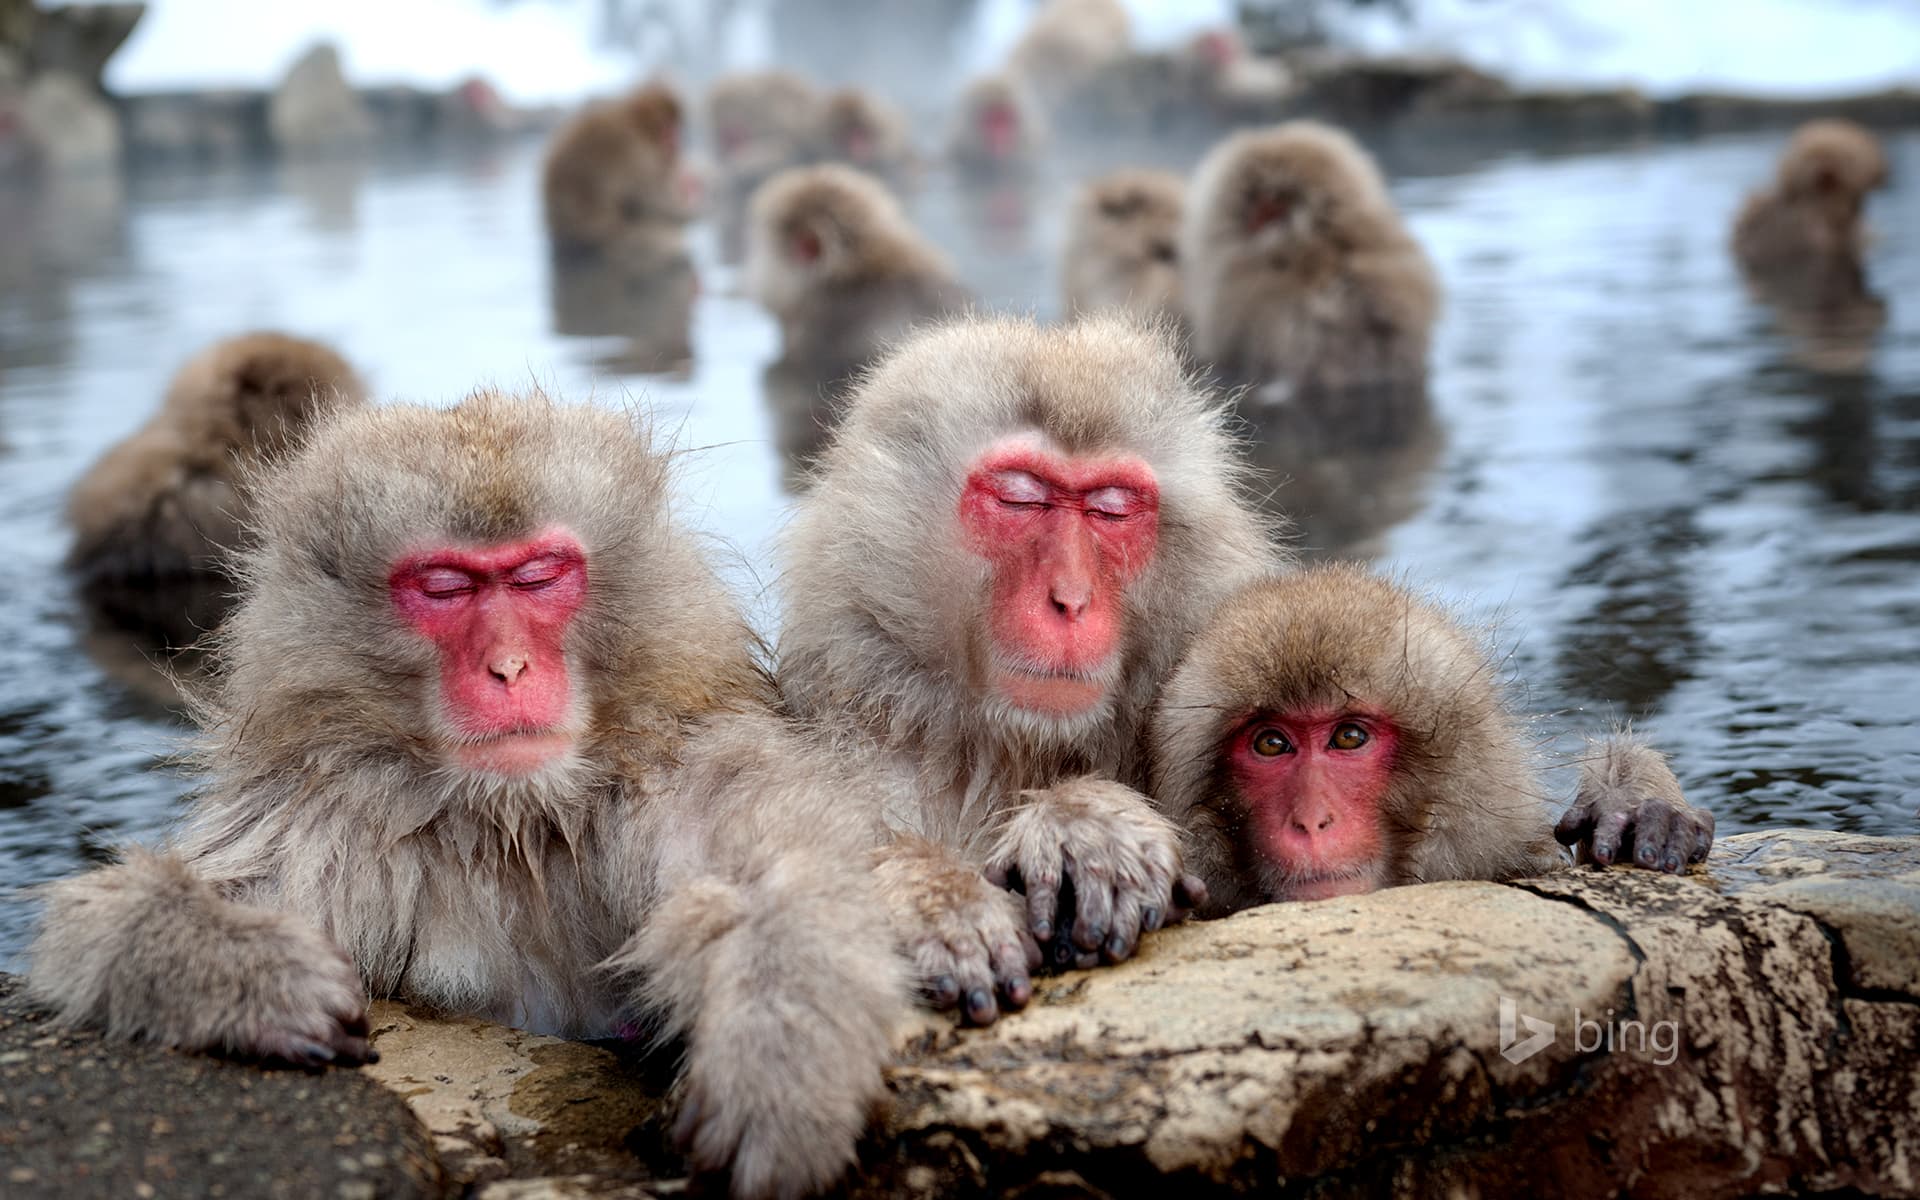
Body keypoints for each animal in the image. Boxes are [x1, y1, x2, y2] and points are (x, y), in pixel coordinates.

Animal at [29, 390, 909, 1200]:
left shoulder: (678, 771)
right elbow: (100, 923)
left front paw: (779, 1061)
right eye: (446, 587)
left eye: (538, 576)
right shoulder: (321, 814)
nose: (509, 668)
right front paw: (253, 975)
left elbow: (783, 874)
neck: (513, 818)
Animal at [541, 82, 693, 269]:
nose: (676, 145)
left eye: (675, 132)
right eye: (668, 134)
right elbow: (656, 199)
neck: (636, 124)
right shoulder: (640, 158)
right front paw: (683, 204)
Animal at [777, 313, 1288, 1024]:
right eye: (1020, 499)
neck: (1010, 750)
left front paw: (1088, 824)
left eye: (1111, 508)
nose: (1070, 598)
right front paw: (935, 897)